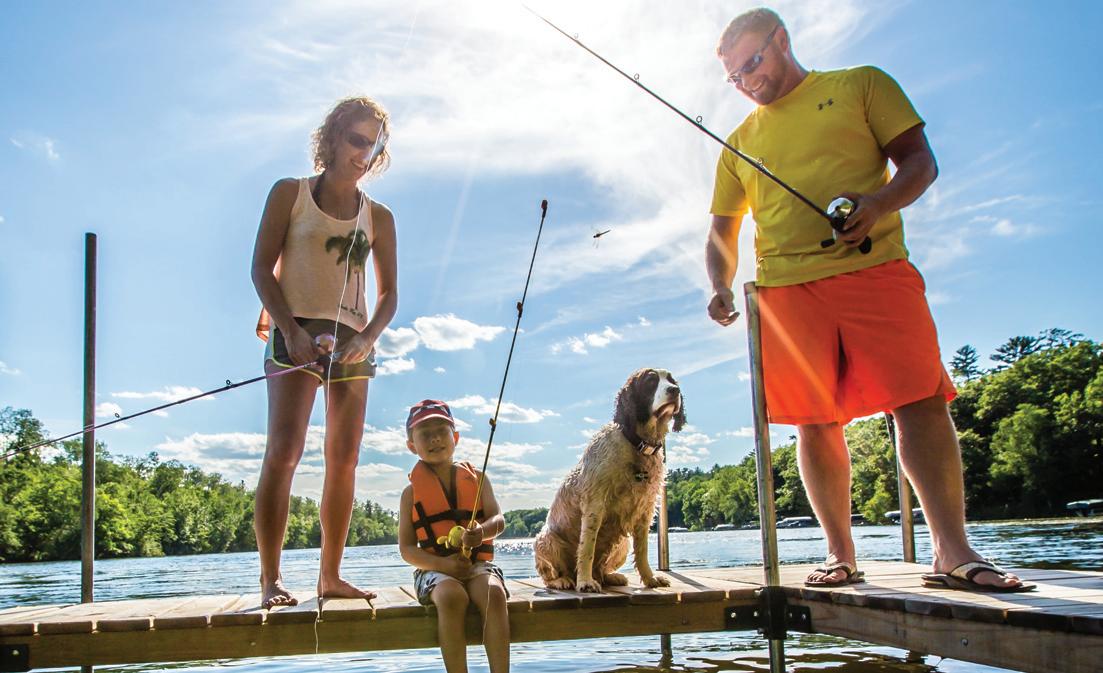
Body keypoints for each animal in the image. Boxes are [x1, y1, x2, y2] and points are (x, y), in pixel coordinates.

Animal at [534, 368, 685, 592]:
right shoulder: (594, 504)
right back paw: (563, 580)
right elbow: (587, 548)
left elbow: (642, 551)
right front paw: (585, 582)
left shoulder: (645, 510)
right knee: (551, 575)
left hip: (623, 544)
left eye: (671, 380)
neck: (637, 445)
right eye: (650, 381)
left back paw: (610, 576)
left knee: (602, 570)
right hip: (545, 540)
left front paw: (650, 579)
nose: (675, 390)